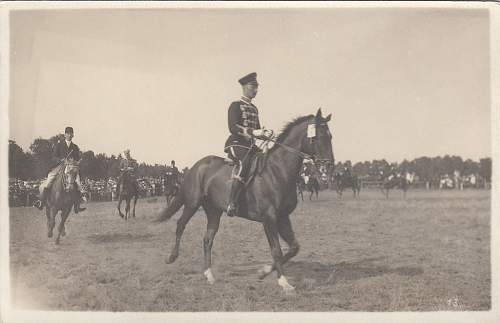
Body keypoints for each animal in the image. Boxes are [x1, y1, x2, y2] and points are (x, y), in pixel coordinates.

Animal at [154, 109, 334, 294]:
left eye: (330, 136)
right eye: (317, 137)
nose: (328, 166)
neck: (278, 170)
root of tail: (196, 167)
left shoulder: (283, 217)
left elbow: (294, 248)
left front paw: (264, 272)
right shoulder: (269, 218)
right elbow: (276, 249)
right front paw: (284, 282)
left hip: (214, 211)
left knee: (207, 239)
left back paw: (209, 275)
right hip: (192, 203)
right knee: (180, 225)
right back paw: (172, 257)